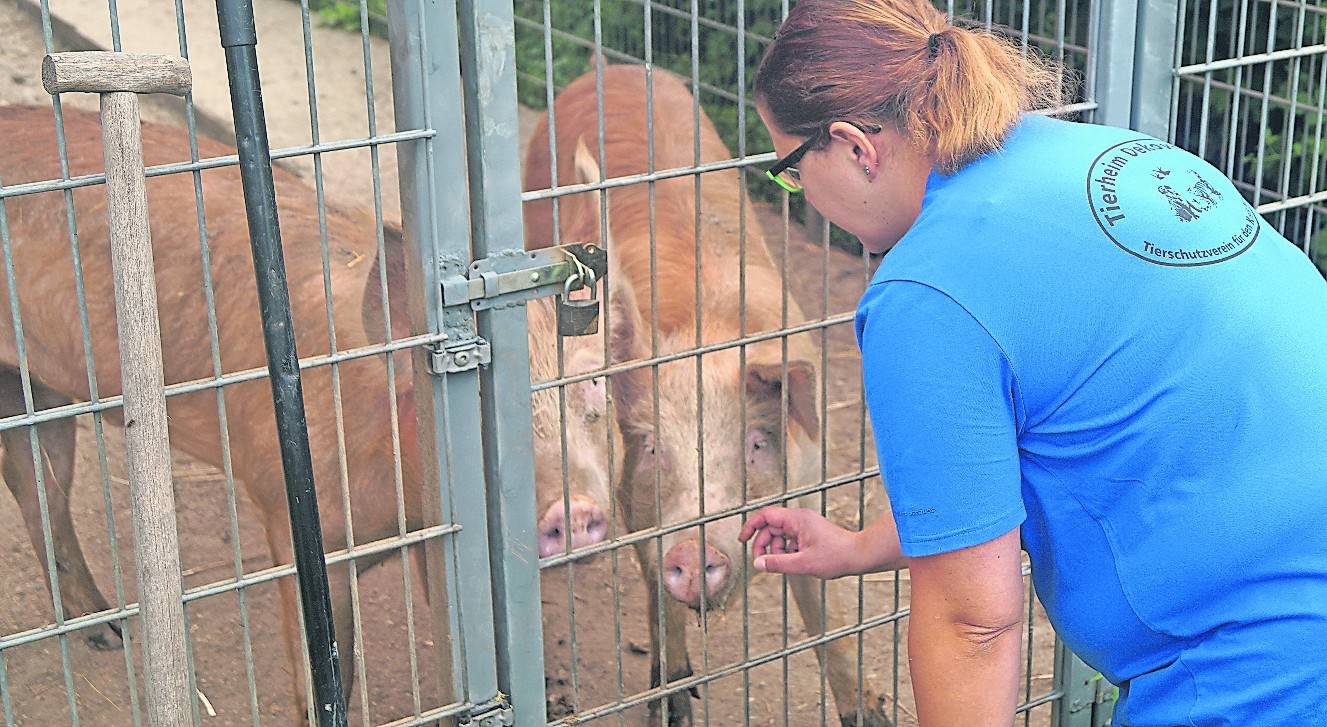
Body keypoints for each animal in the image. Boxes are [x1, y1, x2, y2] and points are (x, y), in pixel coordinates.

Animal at [0, 104, 615, 721]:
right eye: (482, 405)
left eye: (593, 385)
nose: (576, 509)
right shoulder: (289, 518)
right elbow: (326, 674)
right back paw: (107, 636)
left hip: (38, 393)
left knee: (38, 493)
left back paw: (104, 634)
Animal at [522, 64, 897, 727]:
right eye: (651, 449)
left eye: (756, 443)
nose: (694, 552)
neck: (711, 336)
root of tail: (607, 67)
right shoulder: (636, 504)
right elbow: (658, 598)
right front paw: (674, 704)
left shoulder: (809, 478)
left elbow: (828, 611)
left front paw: (872, 712)